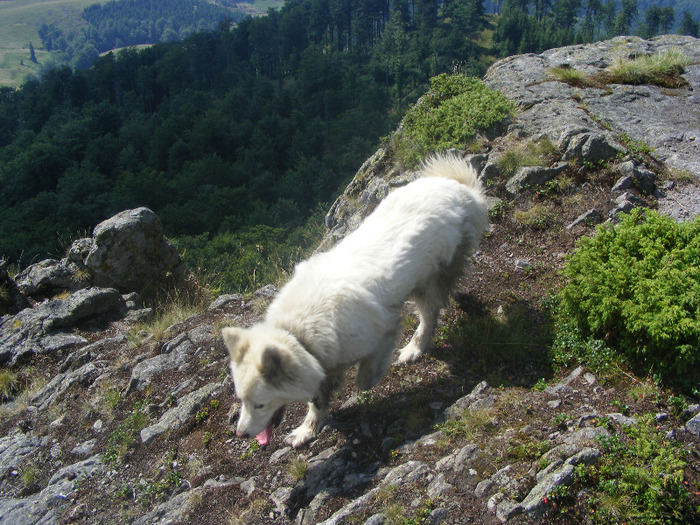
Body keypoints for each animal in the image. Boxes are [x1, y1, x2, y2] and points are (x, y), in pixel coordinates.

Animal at [223, 151, 486, 446]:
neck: (299, 332)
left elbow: (364, 377)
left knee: (430, 314)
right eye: (242, 401)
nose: (241, 433)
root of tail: (460, 188)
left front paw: (372, 376)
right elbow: (317, 400)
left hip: (427, 279)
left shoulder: (382, 330)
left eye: (259, 404)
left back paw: (415, 347)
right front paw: (307, 429)